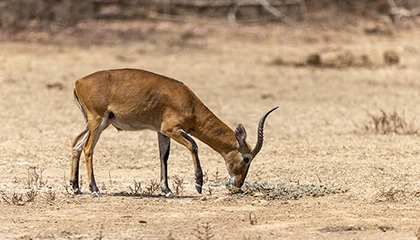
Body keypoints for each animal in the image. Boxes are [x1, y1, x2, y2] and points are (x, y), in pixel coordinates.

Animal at [70, 68, 278, 198]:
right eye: (246, 158)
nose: (238, 184)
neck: (188, 102)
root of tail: (78, 82)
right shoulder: (171, 129)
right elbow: (193, 145)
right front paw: (198, 185)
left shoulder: (162, 132)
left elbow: (164, 156)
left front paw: (167, 191)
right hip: (98, 121)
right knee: (87, 148)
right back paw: (94, 190)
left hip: (95, 123)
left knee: (76, 144)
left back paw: (75, 187)